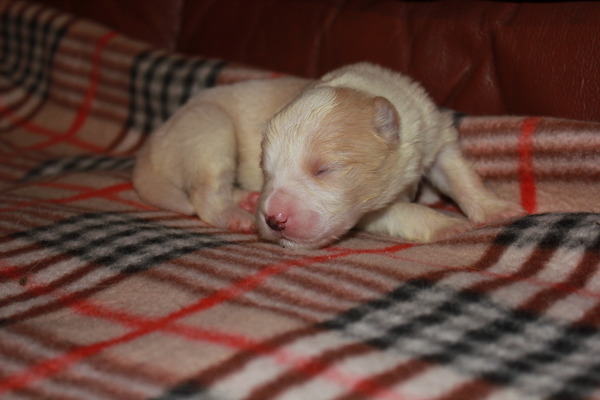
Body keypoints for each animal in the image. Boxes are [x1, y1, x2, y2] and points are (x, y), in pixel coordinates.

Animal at [134, 62, 524, 248]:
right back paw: (236, 214)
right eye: (267, 170)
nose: (273, 219)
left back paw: (244, 200)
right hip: (209, 128)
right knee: (205, 193)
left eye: (324, 170)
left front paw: (495, 209)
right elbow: (403, 210)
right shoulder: (367, 212)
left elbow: (461, 176)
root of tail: (154, 140)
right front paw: (446, 224)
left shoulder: (436, 137)